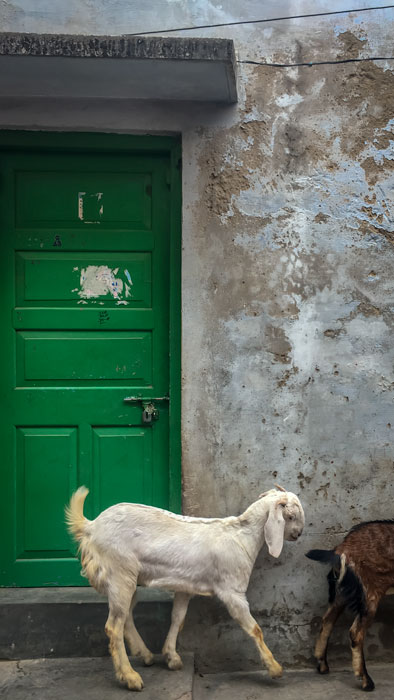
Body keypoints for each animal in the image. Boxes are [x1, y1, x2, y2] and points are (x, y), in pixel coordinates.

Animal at [66, 486, 304, 688]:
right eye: (291, 516)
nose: (298, 534)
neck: (242, 535)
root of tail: (90, 526)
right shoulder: (232, 590)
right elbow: (254, 629)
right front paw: (275, 668)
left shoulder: (186, 586)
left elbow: (178, 619)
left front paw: (171, 657)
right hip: (119, 571)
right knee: (113, 626)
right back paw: (130, 677)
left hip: (129, 578)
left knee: (125, 617)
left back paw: (145, 655)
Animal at [306, 524, 394, 692]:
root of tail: (340, 550)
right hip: (369, 592)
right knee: (355, 633)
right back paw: (366, 681)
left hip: (341, 593)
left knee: (327, 621)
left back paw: (322, 665)